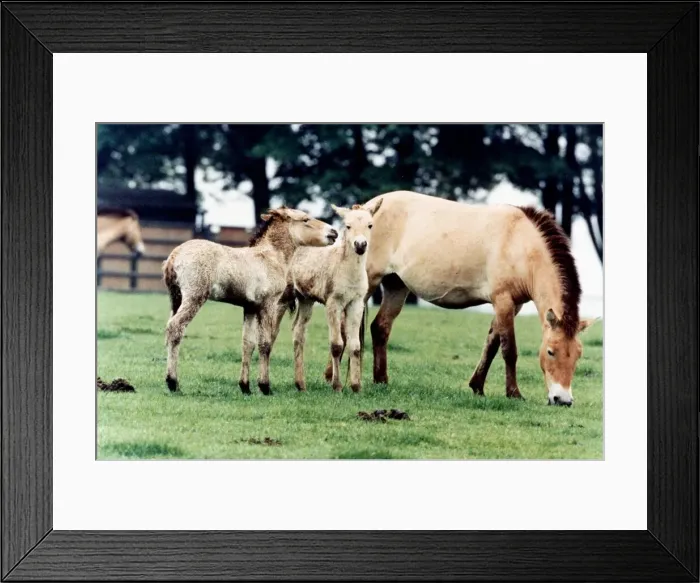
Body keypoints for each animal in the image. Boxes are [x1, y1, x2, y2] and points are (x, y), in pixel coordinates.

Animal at [162, 207, 337, 396]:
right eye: (305, 219)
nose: (334, 232)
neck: (271, 256)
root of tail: (174, 255)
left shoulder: (250, 307)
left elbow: (248, 344)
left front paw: (245, 386)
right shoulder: (268, 305)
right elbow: (265, 343)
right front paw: (265, 386)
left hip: (176, 299)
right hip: (194, 297)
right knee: (176, 327)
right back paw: (172, 382)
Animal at [289, 198, 383, 393]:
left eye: (370, 225)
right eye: (347, 225)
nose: (360, 245)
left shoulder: (356, 302)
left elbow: (355, 345)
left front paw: (356, 386)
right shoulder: (333, 302)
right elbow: (336, 344)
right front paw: (337, 385)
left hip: (306, 299)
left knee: (298, 332)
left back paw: (300, 384)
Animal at [339, 190, 595, 406]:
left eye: (578, 354)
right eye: (550, 351)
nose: (563, 400)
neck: (521, 245)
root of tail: (365, 210)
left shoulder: (514, 305)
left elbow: (491, 345)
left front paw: (477, 387)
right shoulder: (503, 300)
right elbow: (508, 349)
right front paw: (514, 394)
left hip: (396, 286)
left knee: (380, 328)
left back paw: (381, 380)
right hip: (368, 283)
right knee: (344, 327)